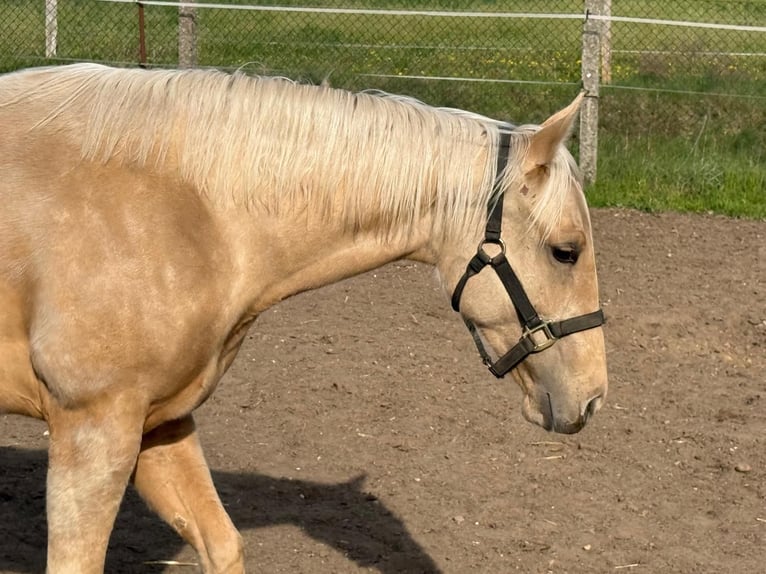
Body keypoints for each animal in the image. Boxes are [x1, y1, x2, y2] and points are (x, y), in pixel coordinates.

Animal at [0, 64, 607, 573]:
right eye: (566, 252)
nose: (593, 398)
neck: (186, 213)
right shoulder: (94, 429)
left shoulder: (159, 421)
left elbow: (223, 544)